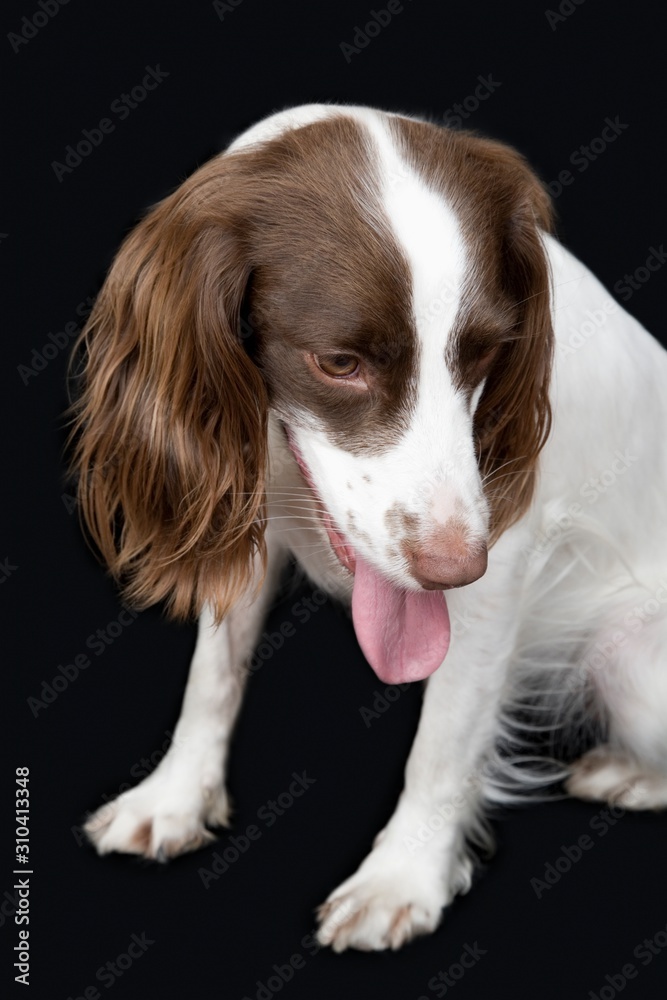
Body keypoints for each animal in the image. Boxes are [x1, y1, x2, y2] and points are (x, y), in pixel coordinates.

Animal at [72, 103, 667, 952]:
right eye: (339, 363)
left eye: (488, 353)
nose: (453, 565)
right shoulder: (239, 511)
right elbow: (211, 678)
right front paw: (175, 797)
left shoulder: (496, 574)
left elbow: (443, 744)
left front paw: (401, 878)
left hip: (631, 661)